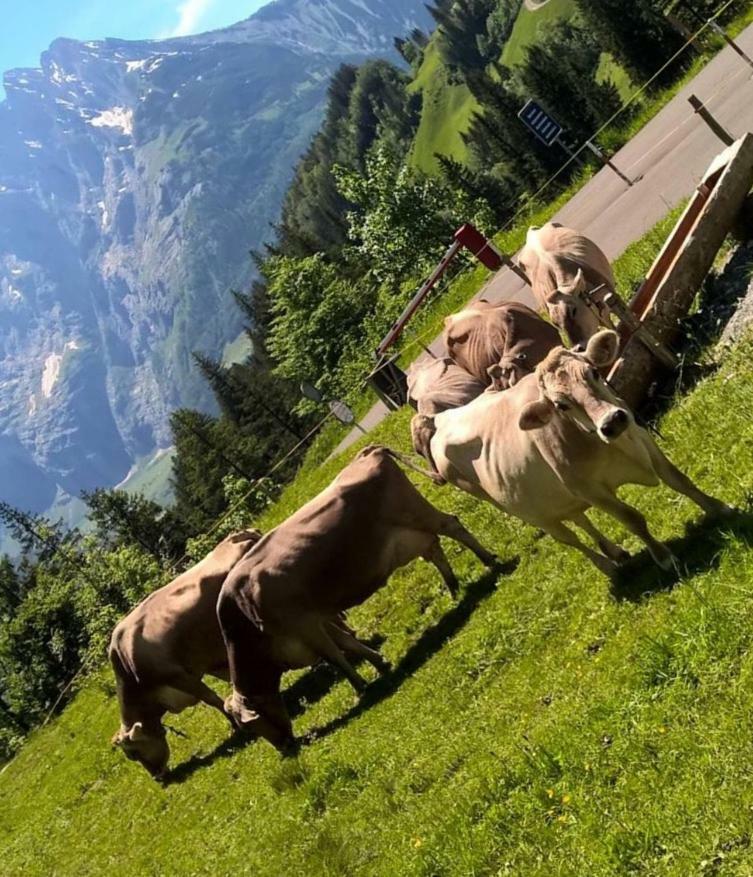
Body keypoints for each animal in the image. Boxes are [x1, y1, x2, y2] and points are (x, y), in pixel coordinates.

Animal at [108, 532, 262, 776]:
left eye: (133, 753)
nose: (157, 777)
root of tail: (236, 535)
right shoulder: (208, 660)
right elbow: (229, 678)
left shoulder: (179, 676)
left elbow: (212, 699)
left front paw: (235, 725)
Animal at [217, 448, 500, 748]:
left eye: (254, 725)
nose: (286, 748)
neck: (245, 616)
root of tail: (367, 453)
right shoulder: (317, 619)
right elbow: (347, 643)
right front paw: (379, 663)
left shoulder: (303, 626)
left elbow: (335, 656)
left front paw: (360, 687)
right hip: (408, 534)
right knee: (433, 549)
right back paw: (454, 589)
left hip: (417, 514)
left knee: (452, 525)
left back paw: (488, 561)